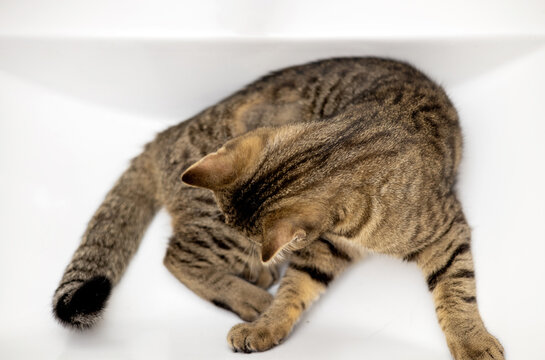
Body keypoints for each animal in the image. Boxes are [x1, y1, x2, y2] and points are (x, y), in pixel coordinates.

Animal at [53, 57, 504, 358]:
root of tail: (165, 135)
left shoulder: (446, 231)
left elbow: (456, 290)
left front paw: (472, 341)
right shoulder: (323, 246)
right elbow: (293, 290)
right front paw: (266, 325)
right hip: (214, 228)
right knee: (176, 256)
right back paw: (252, 296)